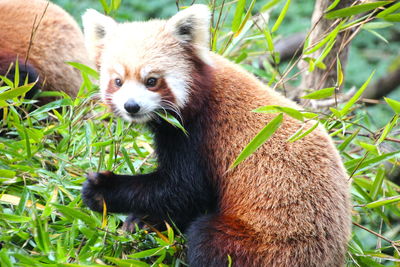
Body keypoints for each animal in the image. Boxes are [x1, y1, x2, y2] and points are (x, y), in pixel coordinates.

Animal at [80, 4, 350, 267]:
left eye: (152, 81)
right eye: (118, 81)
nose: (131, 106)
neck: (202, 91)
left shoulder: (197, 136)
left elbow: (184, 192)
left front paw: (102, 189)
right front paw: (142, 220)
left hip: (268, 245)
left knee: (206, 237)